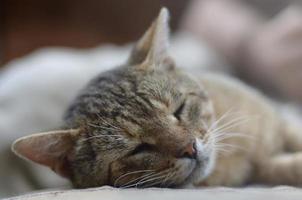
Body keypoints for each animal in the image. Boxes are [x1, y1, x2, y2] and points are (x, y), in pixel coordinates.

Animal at [12, 8, 302, 189]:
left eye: (179, 109)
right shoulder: (261, 167)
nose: (190, 149)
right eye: (138, 149)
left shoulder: (282, 119)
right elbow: (282, 168)